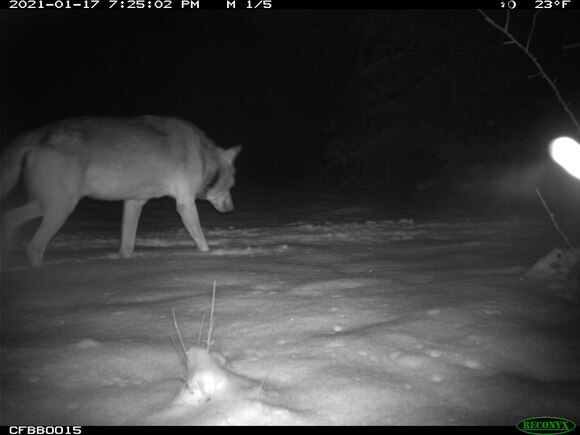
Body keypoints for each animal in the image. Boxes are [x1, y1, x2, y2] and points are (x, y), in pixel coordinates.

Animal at [1, 116, 241, 268]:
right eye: (231, 185)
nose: (231, 210)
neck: (204, 157)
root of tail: (39, 134)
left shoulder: (134, 202)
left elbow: (127, 245)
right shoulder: (185, 204)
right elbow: (201, 241)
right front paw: (210, 256)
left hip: (46, 206)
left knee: (9, 218)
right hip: (60, 210)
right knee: (33, 247)